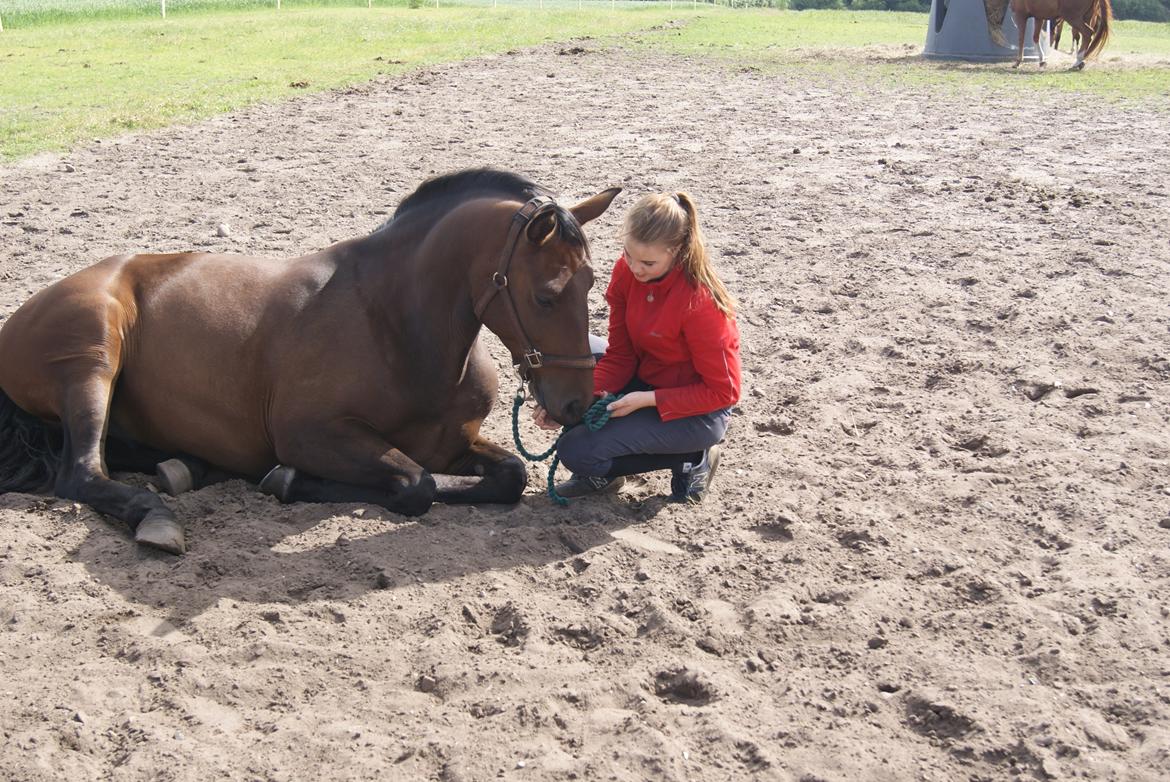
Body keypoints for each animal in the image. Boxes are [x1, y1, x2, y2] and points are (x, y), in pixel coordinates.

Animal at [0, 169, 622, 554]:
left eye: (594, 281)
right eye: (547, 295)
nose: (576, 404)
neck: (395, 328)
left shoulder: (455, 442)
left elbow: (510, 476)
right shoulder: (311, 434)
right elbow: (415, 483)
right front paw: (289, 479)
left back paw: (186, 468)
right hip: (91, 360)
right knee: (82, 471)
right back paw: (157, 515)